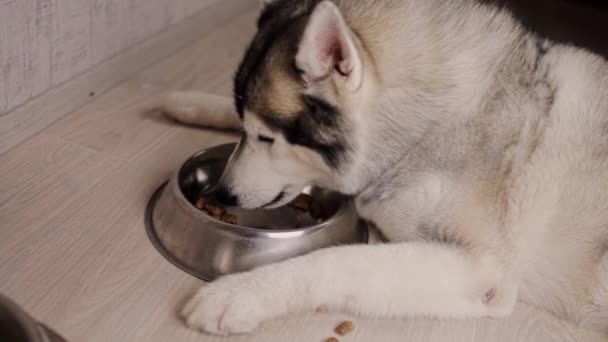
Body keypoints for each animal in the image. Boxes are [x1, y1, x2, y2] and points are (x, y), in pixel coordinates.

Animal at [164, 0, 608, 336]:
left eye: (267, 138)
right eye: (248, 129)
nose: (221, 193)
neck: (426, 129)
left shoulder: (483, 270)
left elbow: (337, 261)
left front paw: (240, 294)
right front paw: (188, 102)